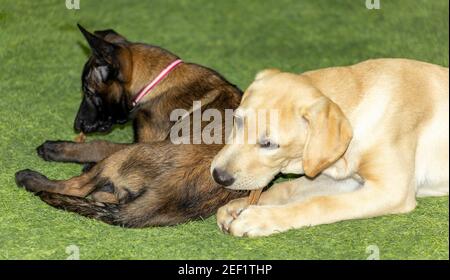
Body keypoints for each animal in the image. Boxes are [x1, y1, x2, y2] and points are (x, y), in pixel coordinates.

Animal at [15, 24, 246, 228]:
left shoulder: (145, 140)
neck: (158, 82)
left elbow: (99, 145)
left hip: (130, 153)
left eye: (88, 92)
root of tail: (164, 199)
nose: (77, 124)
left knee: (77, 187)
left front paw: (55, 148)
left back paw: (30, 178)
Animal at [212, 58, 450, 236]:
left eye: (269, 144)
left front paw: (261, 218)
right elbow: (286, 188)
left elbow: (320, 203)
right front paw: (239, 205)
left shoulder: (392, 190)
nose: (218, 176)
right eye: (237, 120)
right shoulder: (346, 178)